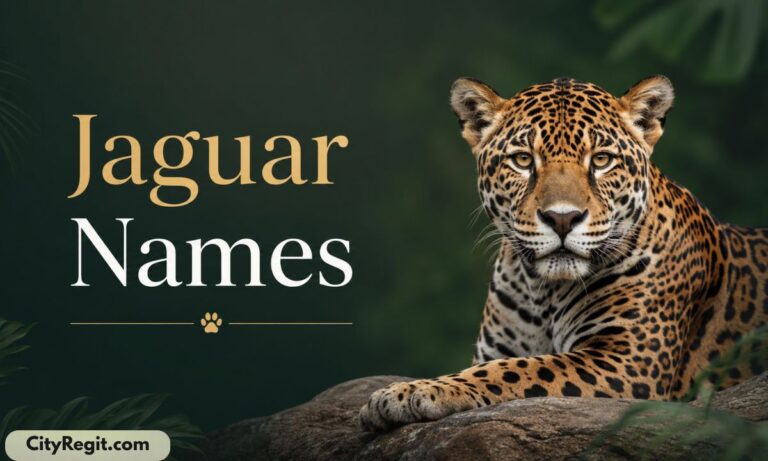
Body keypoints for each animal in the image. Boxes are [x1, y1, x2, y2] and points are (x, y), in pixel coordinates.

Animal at [358, 75, 768, 432]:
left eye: (601, 160)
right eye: (523, 160)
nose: (562, 218)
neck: (544, 291)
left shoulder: (626, 361)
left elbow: (521, 369)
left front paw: (411, 392)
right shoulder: (497, 349)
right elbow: (499, 366)